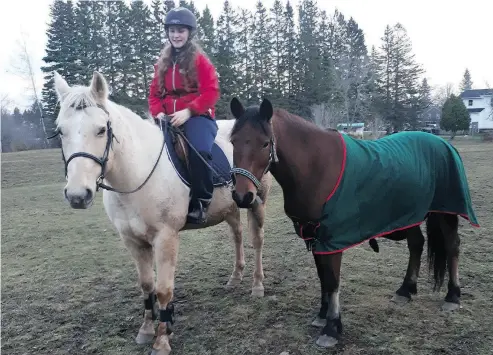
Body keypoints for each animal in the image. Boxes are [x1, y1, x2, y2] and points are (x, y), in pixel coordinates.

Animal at [52, 71, 272, 354]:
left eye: (101, 130)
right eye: (60, 131)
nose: (78, 195)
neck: (136, 173)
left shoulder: (165, 238)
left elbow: (164, 289)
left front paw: (163, 338)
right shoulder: (133, 241)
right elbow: (147, 285)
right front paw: (146, 329)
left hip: (256, 202)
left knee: (257, 240)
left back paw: (257, 284)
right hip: (231, 207)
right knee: (237, 236)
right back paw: (236, 276)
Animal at [229, 97, 478, 350]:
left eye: (265, 143)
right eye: (233, 141)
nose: (242, 196)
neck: (315, 168)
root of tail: (442, 142)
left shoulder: (333, 237)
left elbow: (332, 281)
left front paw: (332, 327)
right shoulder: (315, 236)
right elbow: (323, 277)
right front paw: (322, 315)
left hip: (445, 212)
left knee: (452, 246)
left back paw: (452, 295)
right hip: (409, 215)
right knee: (417, 244)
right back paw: (406, 290)